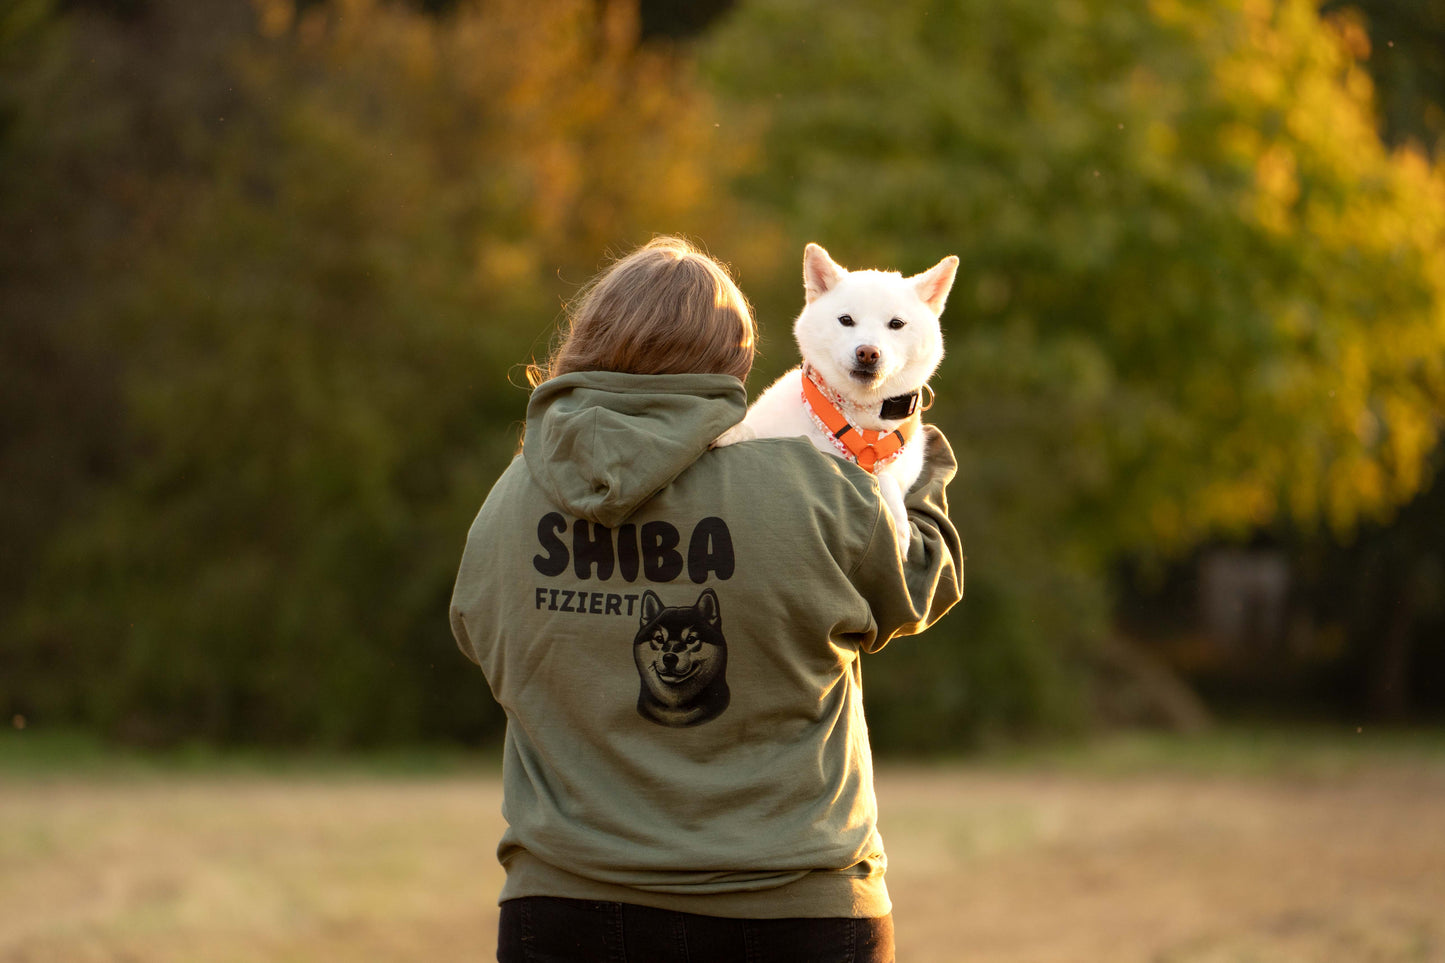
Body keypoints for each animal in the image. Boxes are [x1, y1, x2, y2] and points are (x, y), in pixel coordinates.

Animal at [713, 240, 959, 552]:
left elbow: (887, 478)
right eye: (846, 320)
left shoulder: (904, 467)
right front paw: (732, 430)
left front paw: (899, 525)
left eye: (896, 324)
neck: (858, 418)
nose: (867, 352)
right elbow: (752, 429)